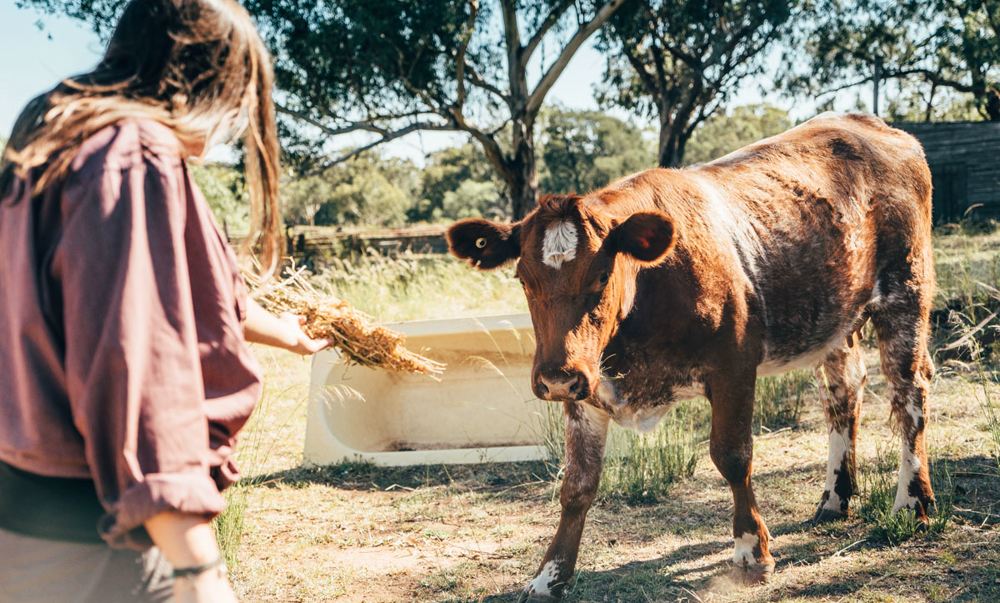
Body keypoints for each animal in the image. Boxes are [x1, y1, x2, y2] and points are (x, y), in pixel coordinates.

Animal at [446, 113, 936, 600]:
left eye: (601, 275)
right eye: (523, 278)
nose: (554, 378)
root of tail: (870, 124)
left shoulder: (734, 365)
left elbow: (733, 456)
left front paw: (751, 552)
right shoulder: (584, 391)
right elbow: (577, 484)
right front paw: (550, 574)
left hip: (905, 293)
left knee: (909, 397)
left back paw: (912, 502)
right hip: (835, 322)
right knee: (843, 394)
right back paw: (835, 498)